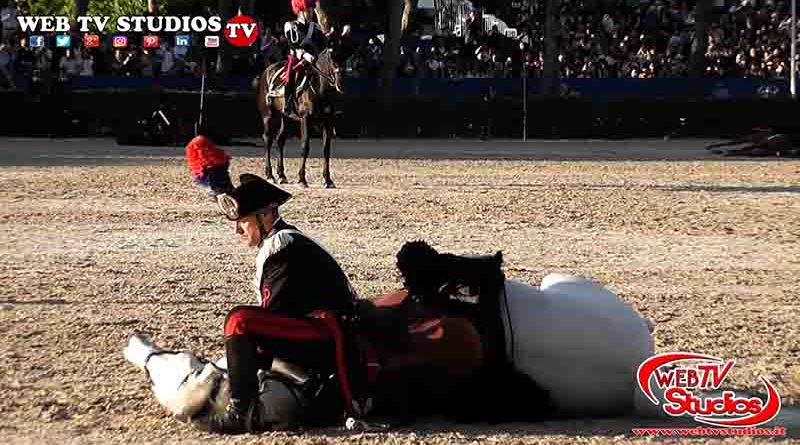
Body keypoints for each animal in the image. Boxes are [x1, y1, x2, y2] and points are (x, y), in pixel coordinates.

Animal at [256, 48, 344, 187]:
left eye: (342, 59)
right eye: (331, 61)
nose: (340, 83)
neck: (318, 90)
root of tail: (267, 70)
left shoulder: (327, 121)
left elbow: (326, 149)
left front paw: (328, 180)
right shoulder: (305, 120)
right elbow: (305, 146)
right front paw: (302, 179)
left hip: (285, 117)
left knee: (280, 139)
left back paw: (281, 175)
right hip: (268, 115)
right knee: (268, 139)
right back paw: (270, 175)